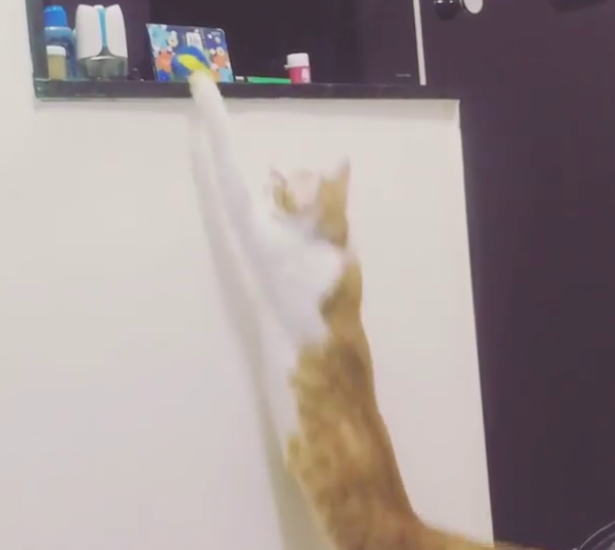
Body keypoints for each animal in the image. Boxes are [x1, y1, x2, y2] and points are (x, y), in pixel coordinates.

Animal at [188, 70, 544, 550]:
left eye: (280, 183)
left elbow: (230, 173)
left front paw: (203, 84)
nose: (271, 175)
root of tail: (413, 521)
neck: (331, 242)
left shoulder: (261, 237)